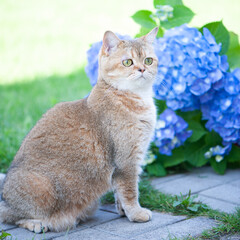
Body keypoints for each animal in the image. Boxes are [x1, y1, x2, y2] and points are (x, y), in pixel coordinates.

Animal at [0, 27, 158, 233]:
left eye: (148, 60)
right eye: (127, 62)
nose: (142, 69)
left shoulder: (124, 164)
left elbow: (119, 193)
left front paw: (123, 211)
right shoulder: (127, 161)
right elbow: (130, 191)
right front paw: (136, 213)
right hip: (42, 188)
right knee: (9, 215)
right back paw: (36, 223)